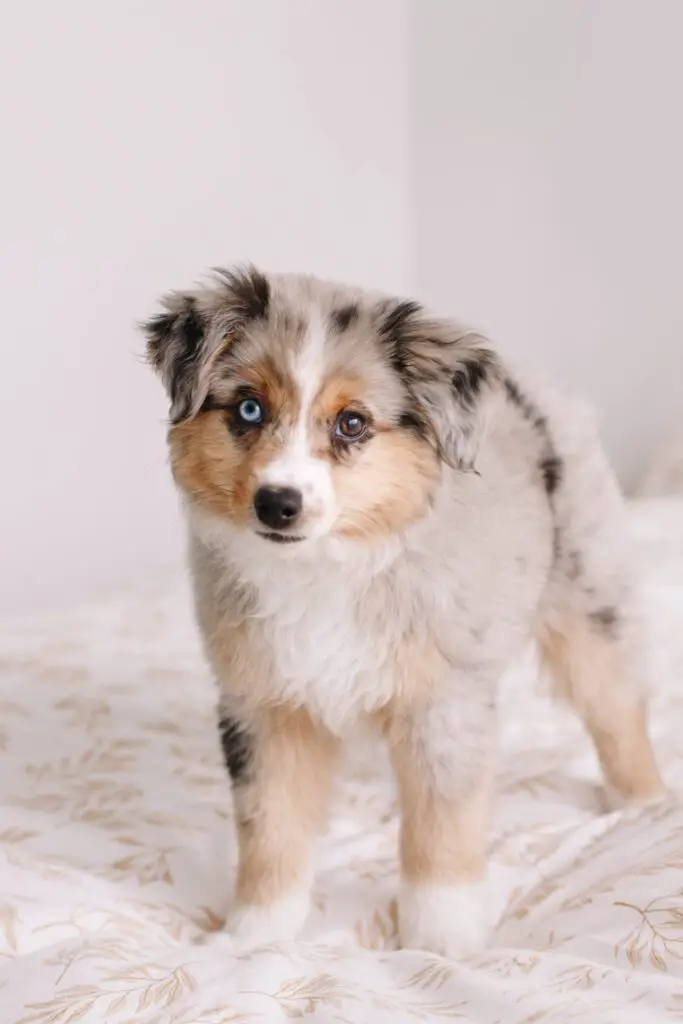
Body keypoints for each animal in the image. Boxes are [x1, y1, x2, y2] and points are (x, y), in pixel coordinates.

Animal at [143, 264, 663, 958]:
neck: (325, 567)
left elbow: (441, 826)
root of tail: (529, 386)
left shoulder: (444, 702)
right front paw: (256, 933)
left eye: (352, 424)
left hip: (588, 585)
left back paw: (645, 805)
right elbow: (270, 827)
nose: (277, 503)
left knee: (615, 703)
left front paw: (441, 940)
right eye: (249, 408)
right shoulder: (264, 704)